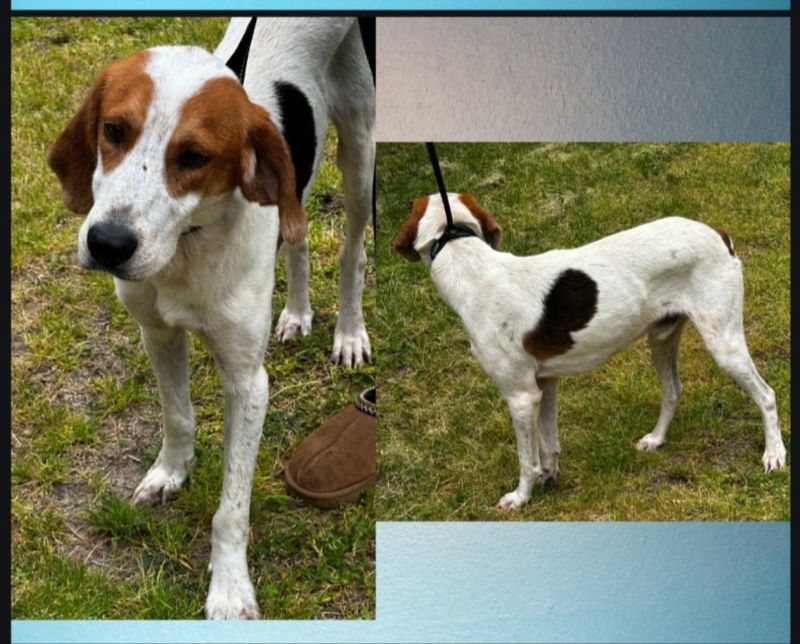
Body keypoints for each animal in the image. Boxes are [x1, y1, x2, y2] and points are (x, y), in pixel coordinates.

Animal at [47, 16, 376, 620]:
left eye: (194, 157)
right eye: (113, 130)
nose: (107, 245)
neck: (187, 248)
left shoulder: (247, 382)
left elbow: (232, 507)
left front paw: (229, 588)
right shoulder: (157, 333)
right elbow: (177, 416)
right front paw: (170, 472)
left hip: (361, 156)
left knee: (353, 252)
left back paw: (348, 332)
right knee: (296, 238)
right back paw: (296, 313)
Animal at [394, 194, 788, 510]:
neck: (465, 257)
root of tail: (717, 234)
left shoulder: (520, 395)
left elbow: (526, 459)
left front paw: (521, 498)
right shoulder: (545, 384)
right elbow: (549, 444)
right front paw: (550, 477)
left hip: (724, 343)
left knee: (766, 395)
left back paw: (774, 454)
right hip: (661, 340)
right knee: (674, 390)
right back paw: (656, 439)